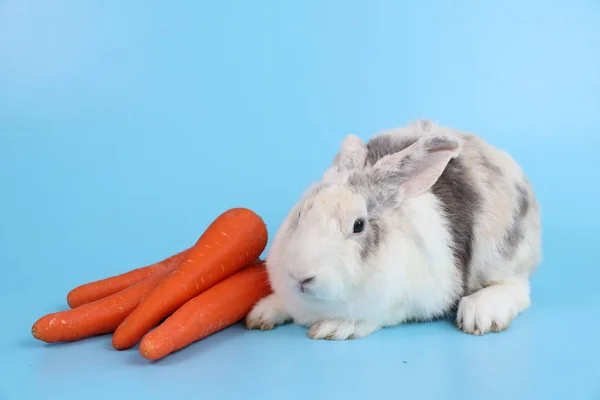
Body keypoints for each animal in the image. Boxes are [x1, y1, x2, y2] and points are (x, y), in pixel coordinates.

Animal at [246, 120, 540, 340]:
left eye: (359, 225)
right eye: (300, 214)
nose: (300, 277)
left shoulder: (406, 302)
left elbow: (374, 317)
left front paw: (337, 327)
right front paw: (262, 313)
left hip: (501, 256)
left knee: (519, 289)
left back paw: (480, 313)